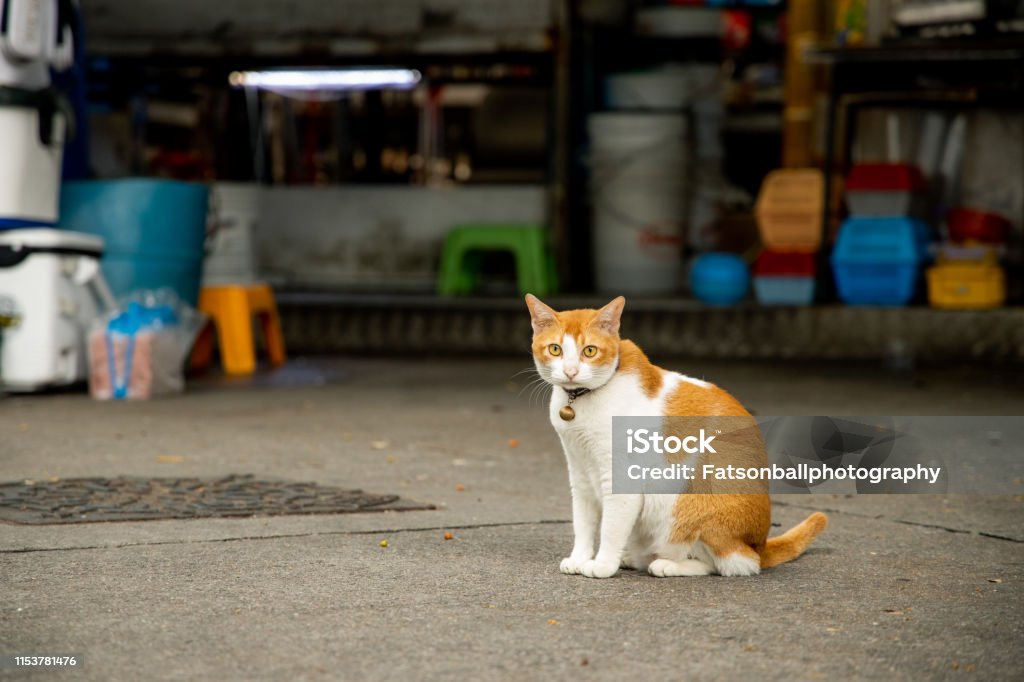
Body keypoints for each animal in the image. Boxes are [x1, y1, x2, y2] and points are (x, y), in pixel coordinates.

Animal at [524, 294, 827, 577]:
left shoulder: (620, 479)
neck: (584, 400)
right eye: (555, 349)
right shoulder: (580, 472)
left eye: (589, 351)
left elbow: (610, 528)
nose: (571, 371)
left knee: (731, 563)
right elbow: (583, 524)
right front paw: (580, 558)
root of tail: (760, 545)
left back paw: (666, 564)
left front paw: (602, 564)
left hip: (690, 501)